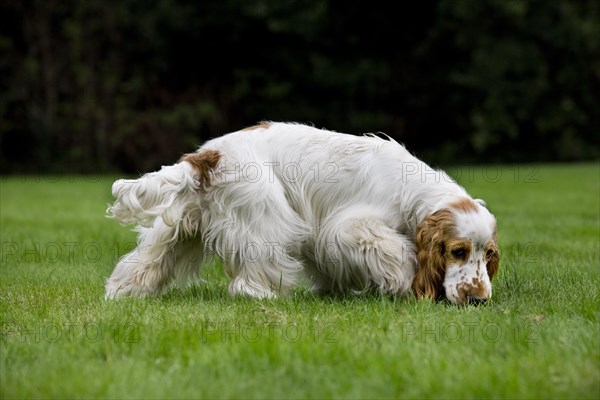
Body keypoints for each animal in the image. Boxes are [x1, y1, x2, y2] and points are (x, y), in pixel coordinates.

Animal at [105, 121, 500, 304]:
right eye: (458, 251)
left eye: (488, 255)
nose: (478, 300)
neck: (413, 192)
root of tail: (208, 156)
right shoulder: (348, 227)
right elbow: (398, 254)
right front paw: (403, 283)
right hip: (264, 220)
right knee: (248, 280)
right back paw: (266, 296)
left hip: (181, 225)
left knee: (145, 262)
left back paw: (122, 293)